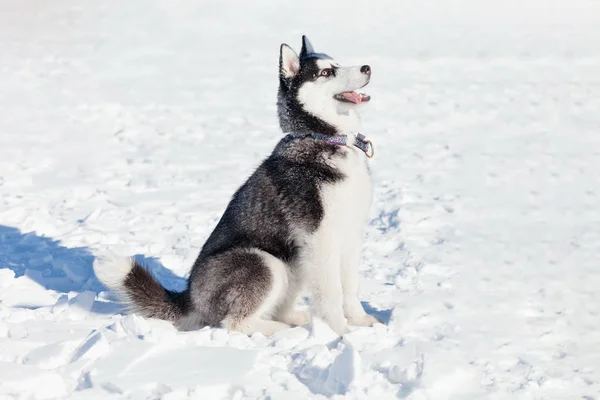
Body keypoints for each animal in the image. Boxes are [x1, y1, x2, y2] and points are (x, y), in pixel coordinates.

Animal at [95, 34, 378, 336]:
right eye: (326, 73)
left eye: (337, 63)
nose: (367, 68)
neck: (324, 139)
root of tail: (191, 297)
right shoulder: (319, 240)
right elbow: (331, 293)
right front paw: (341, 332)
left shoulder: (349, 235)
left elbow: (350, 288)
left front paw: (361, 322)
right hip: (264, 262)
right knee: (233, 323)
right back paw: (279, 329)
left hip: (293, 264)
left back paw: (293, 319)